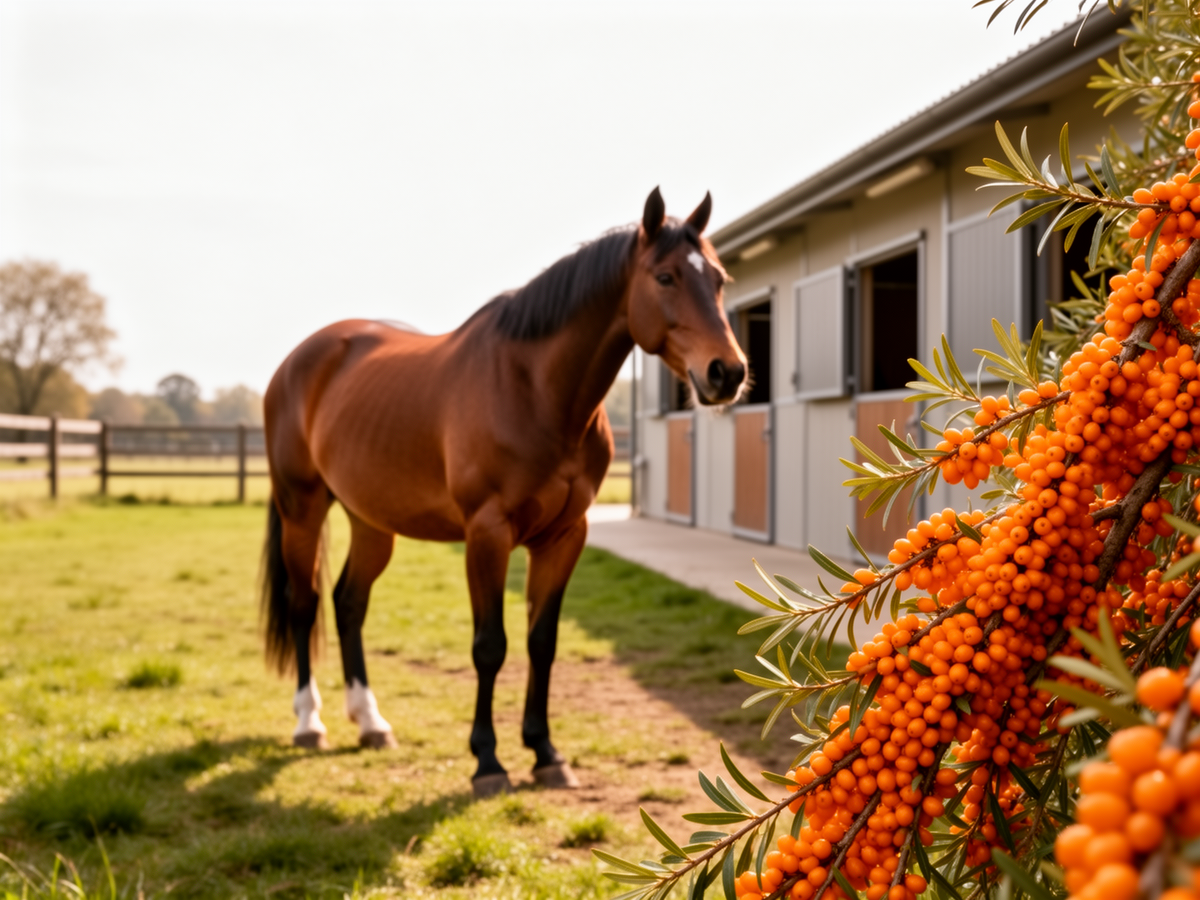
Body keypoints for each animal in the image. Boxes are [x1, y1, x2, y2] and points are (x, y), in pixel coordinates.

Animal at [259, 187, 748, 797]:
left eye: (720, 279)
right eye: (665, 277)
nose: (728, 372)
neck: (534, 390)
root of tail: (297, 362)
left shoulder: (565, 537)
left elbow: (543, 641)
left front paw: (545, 753)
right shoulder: (486, 535)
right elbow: (490, 645)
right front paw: (488, 762)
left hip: (371, 521)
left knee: (349, 603)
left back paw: (370, 722)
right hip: (301, 508)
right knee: (304, 607)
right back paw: (309, 723)